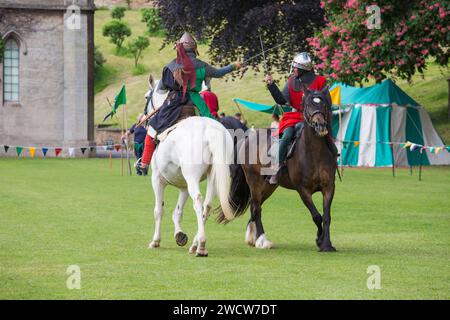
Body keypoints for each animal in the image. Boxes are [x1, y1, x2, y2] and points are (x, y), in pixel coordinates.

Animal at [218, 85, 338, 252]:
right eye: (308, 105)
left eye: (324, 104)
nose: (320, 125)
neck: (315, 152)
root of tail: (248, 138)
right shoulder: (303, 190)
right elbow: (316, 216)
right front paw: (320, 240)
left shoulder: (329, 188)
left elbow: (326, 217)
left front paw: (326, 243)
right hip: (254, 182)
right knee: (256, 208)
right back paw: (262, 240)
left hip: (268, 186)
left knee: (255, 206)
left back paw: (253, 237)